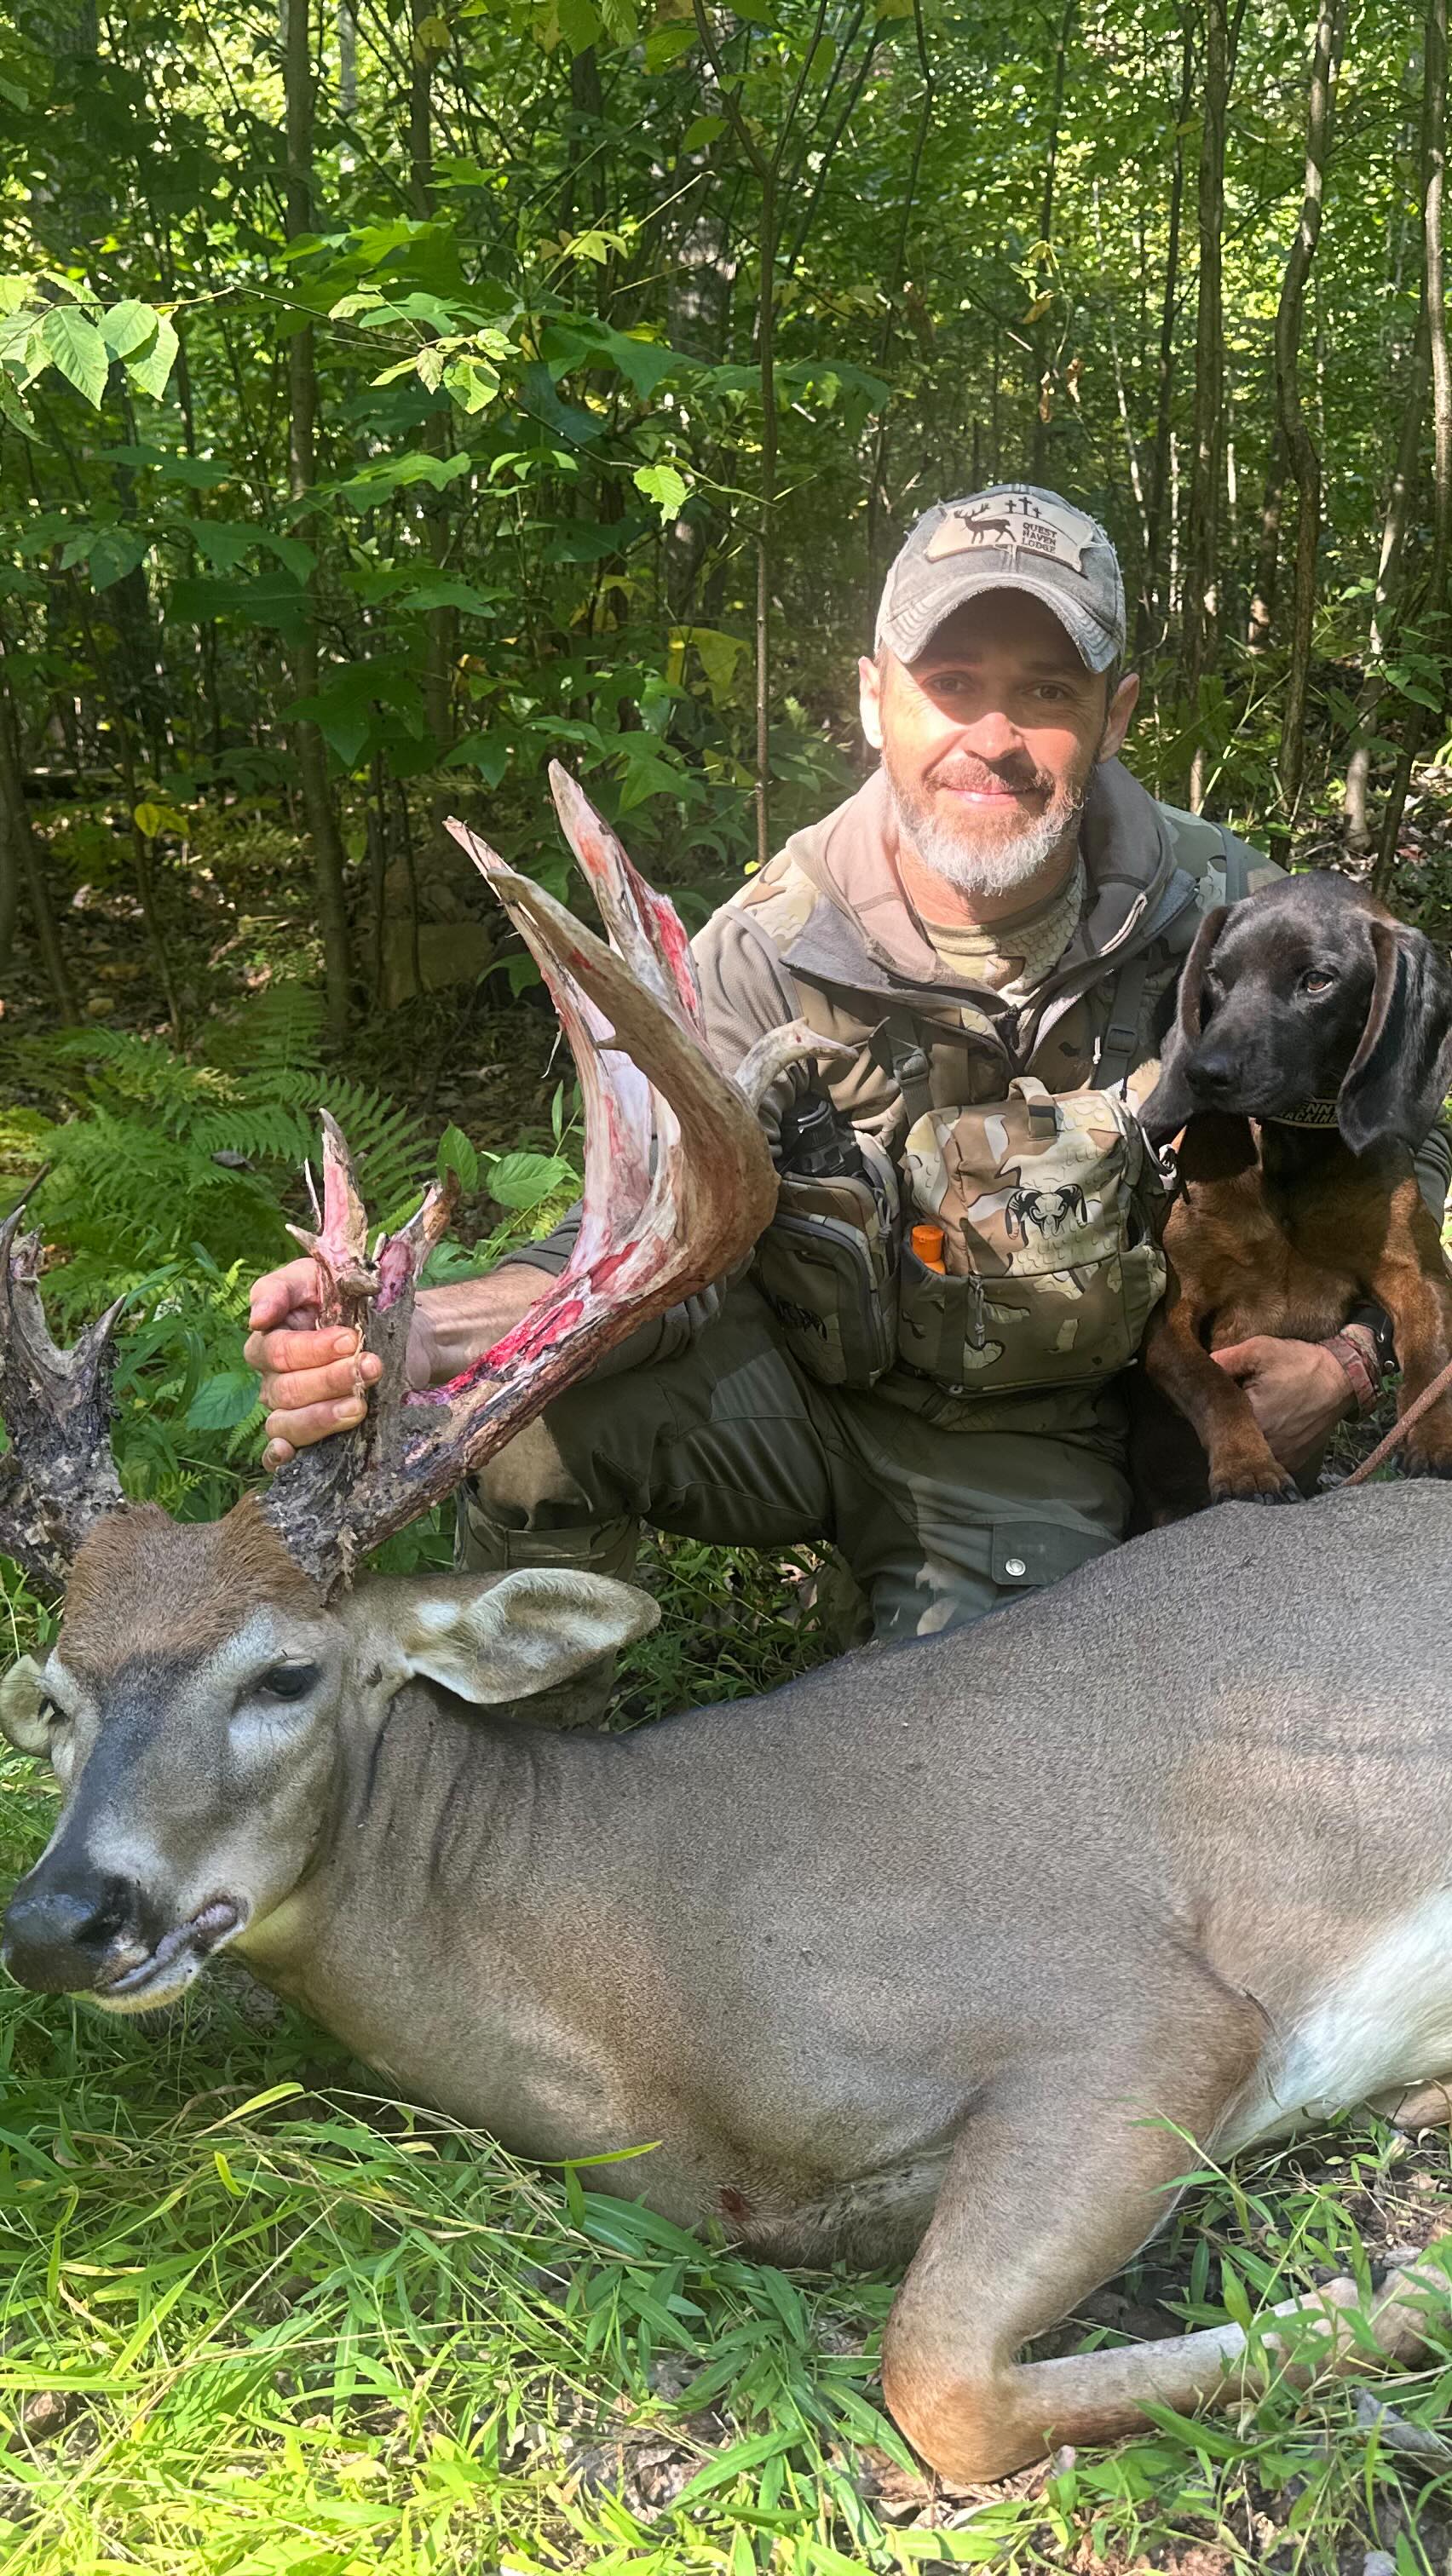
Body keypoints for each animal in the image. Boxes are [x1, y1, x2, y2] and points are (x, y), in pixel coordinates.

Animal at [1, 765, 1451, 2488]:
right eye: (58, 1700)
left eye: (284, 1672)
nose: (60, 1916)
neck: (632, 1976)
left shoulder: (1141, 2006)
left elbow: (935, 2379)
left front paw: (1394, 2286)